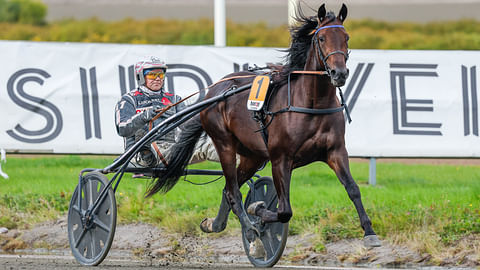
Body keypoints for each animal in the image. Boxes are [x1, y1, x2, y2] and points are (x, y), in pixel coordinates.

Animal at [146, 3, 382, 248]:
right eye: (322, 38)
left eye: (346, 37)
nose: (340, 73)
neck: (311, 104)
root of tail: (214, 91)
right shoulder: (281, 158)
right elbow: (284, 210)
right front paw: (257, 209)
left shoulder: (335, 151)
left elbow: (353, 189)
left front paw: (369, 232)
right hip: (225, 144)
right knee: (233, 191)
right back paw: (250, 230)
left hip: (253, 156)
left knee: (228, 189)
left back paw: (215, 224)